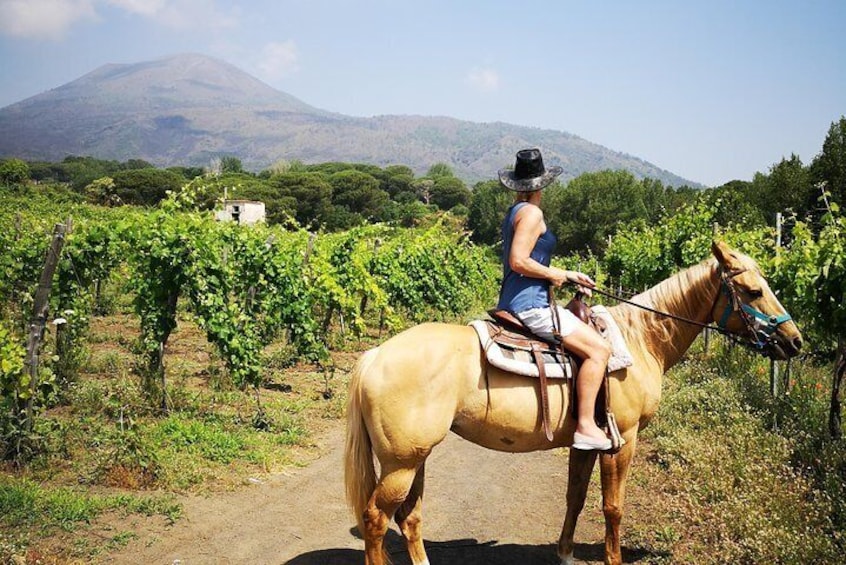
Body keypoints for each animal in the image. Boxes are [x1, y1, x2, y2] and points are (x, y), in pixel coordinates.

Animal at [344, 240, 800, 560]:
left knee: (409, 518)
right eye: (753, 291)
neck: (639, 339)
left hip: (414, 458)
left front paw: (564, 553)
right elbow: (613, 506)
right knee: (376, 520)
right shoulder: (622, 440)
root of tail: (375, 356)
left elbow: (576, 497)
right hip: (401, 463)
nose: (794, 341)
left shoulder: (586, 443)